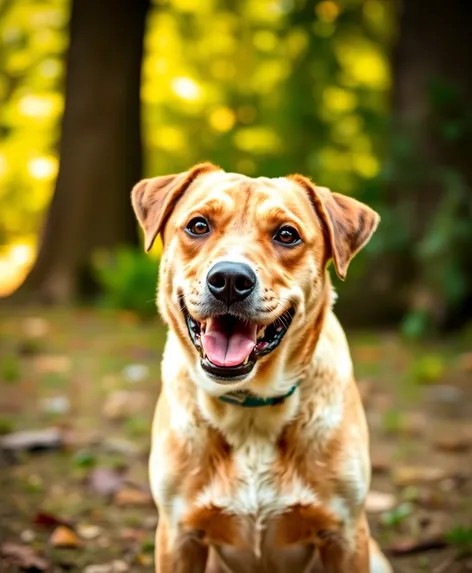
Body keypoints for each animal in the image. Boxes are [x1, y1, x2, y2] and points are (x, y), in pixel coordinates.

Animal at [131, 162, 392, 572]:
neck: (249, 410)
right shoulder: (177, 534)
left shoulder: (346, 533)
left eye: (286, 234)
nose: (229, 279)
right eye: (198, 225)